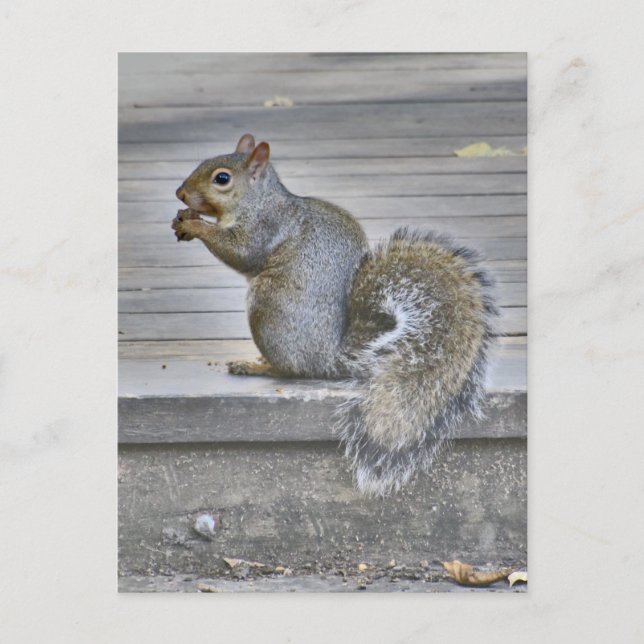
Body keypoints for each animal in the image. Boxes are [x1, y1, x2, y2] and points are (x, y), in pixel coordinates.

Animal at [171, 134, 497, 496]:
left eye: (222, 178)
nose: (181, 193)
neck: (258, 200)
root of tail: (331, 359)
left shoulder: (264, 228)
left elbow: (240, 253)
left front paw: (195, 224)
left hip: (265, 311)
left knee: (290, 370)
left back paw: (256, 365)